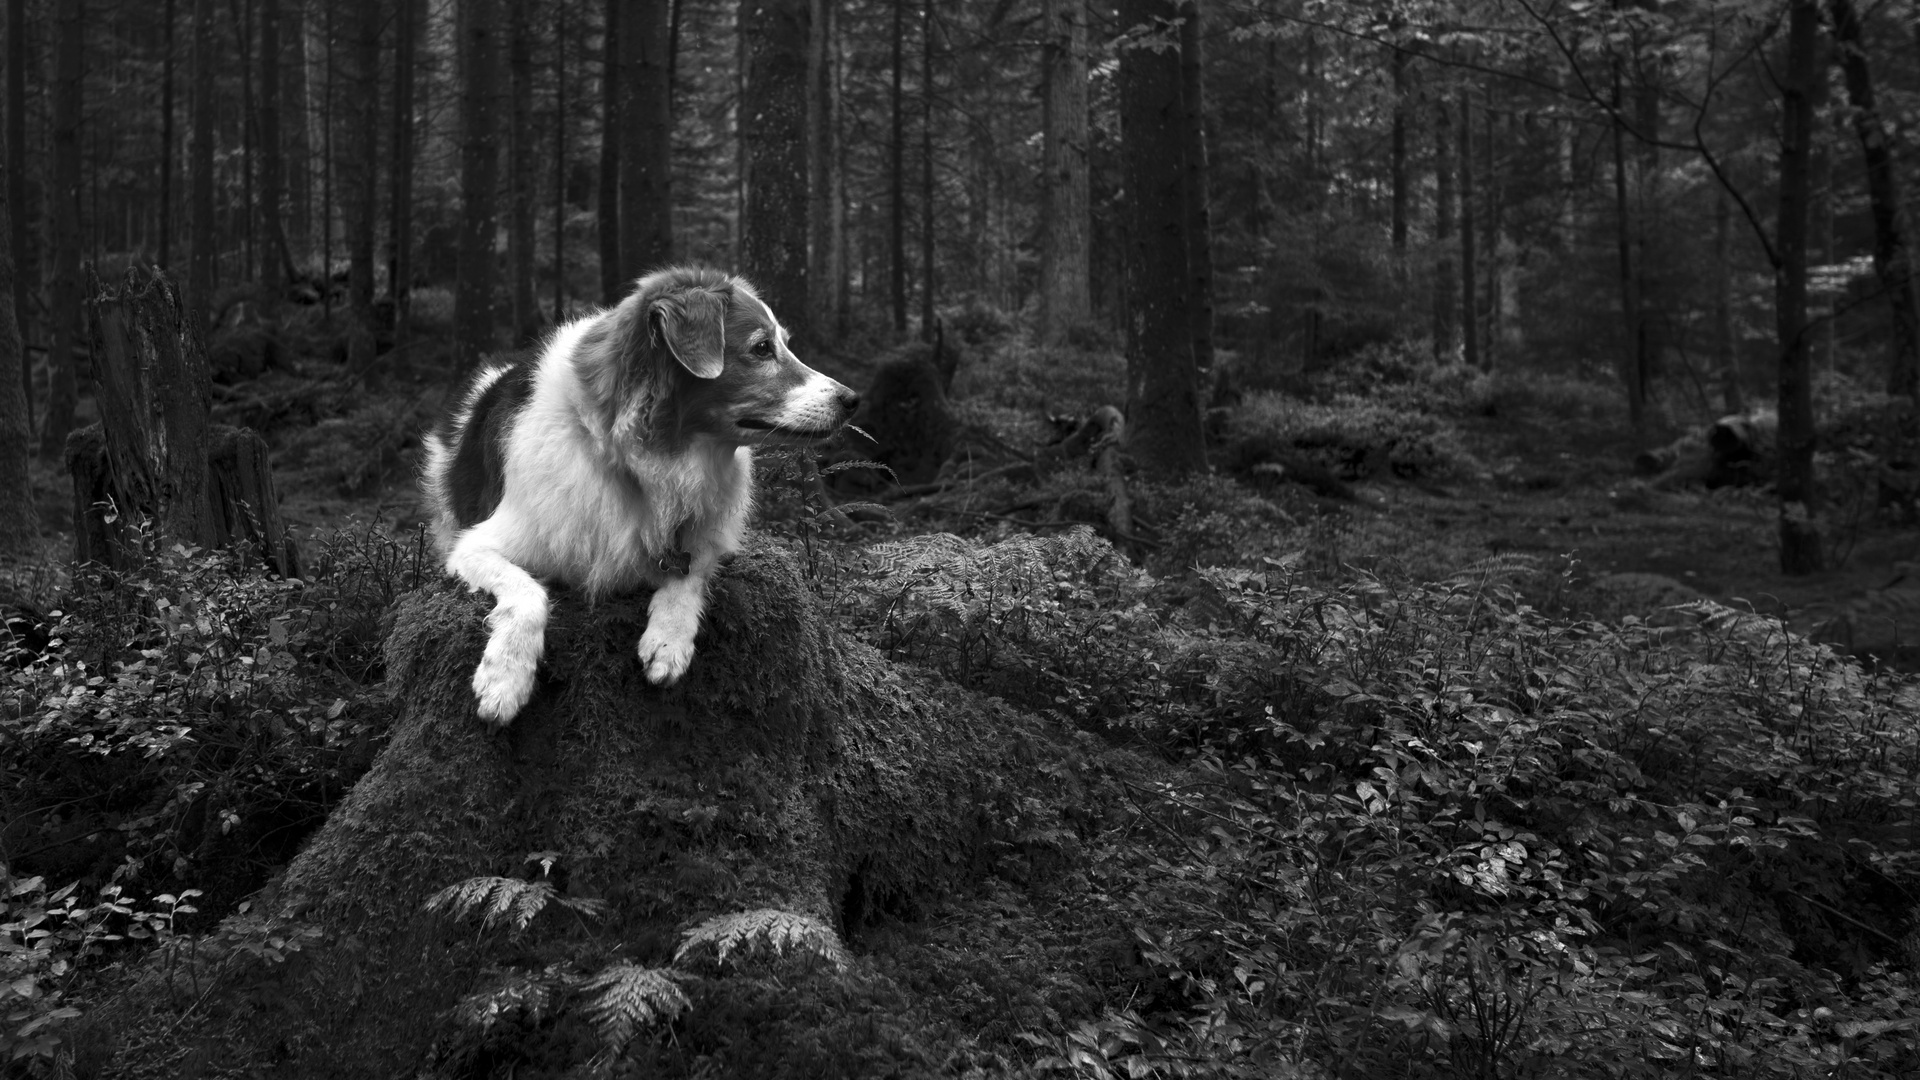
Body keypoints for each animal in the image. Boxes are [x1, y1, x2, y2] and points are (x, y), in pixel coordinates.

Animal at [428, 265, 864, 726]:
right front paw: (505, 677)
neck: (635, 461)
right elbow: (528, 593)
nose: (852, 400)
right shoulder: (475, 546)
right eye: (762, 348)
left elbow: (690, 572)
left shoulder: (704, 535)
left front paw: (669, 639)